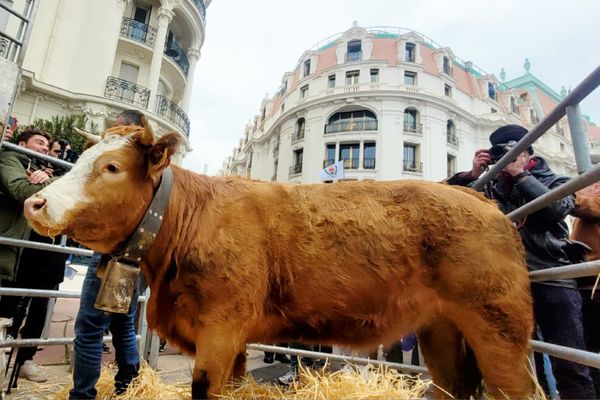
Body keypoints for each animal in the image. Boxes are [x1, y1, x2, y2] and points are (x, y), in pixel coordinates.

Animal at [24, 126, 536, 400]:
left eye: (110, 167)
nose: (34, 202)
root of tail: (483, 201)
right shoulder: (230, 338)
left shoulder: (220, 328)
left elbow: (205, 386)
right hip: (442, 330)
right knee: (454, 385)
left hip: (499, 328)